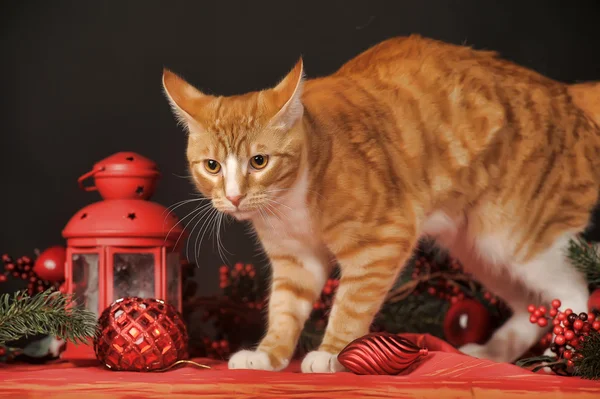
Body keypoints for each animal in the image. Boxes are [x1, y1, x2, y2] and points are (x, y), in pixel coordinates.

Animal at [162, 36, 600, 374]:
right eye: (213, 166)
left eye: (259, 161)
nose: (234, 196)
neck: (290, 205)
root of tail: (566, 93)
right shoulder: (295, 260)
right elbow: (285, 309)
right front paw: (268, 356)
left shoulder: (382, 241)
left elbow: (350, 305)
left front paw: (331, 354)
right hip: (481, 250)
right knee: (534, 305)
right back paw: (495, 353)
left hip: (520, 239)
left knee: (573, 293)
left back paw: (561, 358)